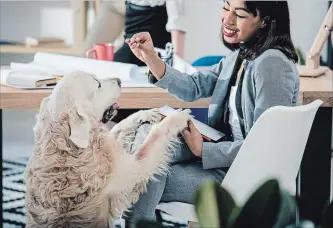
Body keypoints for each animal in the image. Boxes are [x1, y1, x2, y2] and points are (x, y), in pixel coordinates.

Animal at [24, 70, 191, 227]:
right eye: (98, 84)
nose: (119, 80)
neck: (68, 149)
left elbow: (121, 125)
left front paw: (148, 112)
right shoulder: (132, 172)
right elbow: (155, 135)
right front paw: (178, 118)